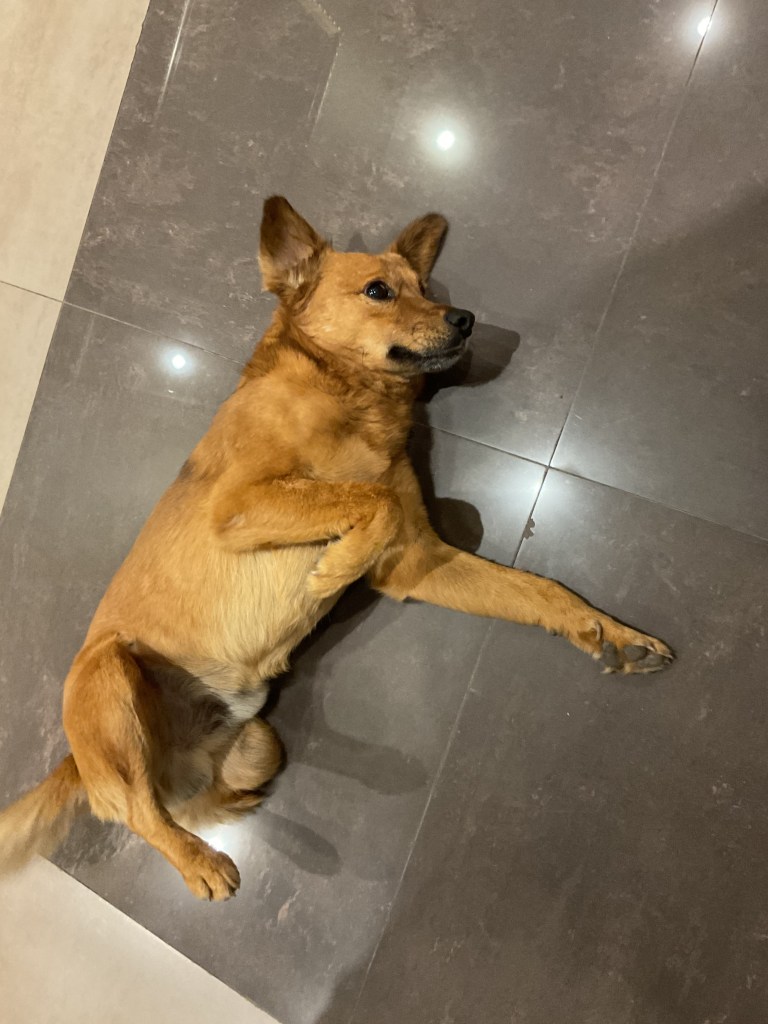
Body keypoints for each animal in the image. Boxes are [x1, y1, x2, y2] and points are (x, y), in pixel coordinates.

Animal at [0, 197, 673, 900]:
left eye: (425, 288)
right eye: (379, 291)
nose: (466, 319)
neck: (349, 394)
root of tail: (81, 765)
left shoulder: (416, 559)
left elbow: (537, 587)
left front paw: (609, 632)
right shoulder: (238, 504)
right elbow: (368, 500)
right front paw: (331, 570)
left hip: (258, 747)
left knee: (179, 804)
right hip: (106, 671)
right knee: (135, 812)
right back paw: (202, 863)